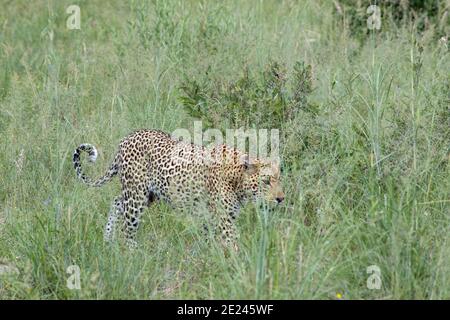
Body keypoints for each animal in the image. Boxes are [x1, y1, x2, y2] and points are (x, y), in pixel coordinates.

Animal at [73, 129, 284, 249]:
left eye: (279, 180)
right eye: (266, 181)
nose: (281, 199)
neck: (237, 180)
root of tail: (127, 137)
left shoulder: (212, 216)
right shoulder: (224, 219)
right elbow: (233, 242)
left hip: (147, 195)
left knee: (117, 202)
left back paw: (108, 239)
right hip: (136, 195)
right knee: (128, 226)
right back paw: (131, 251)